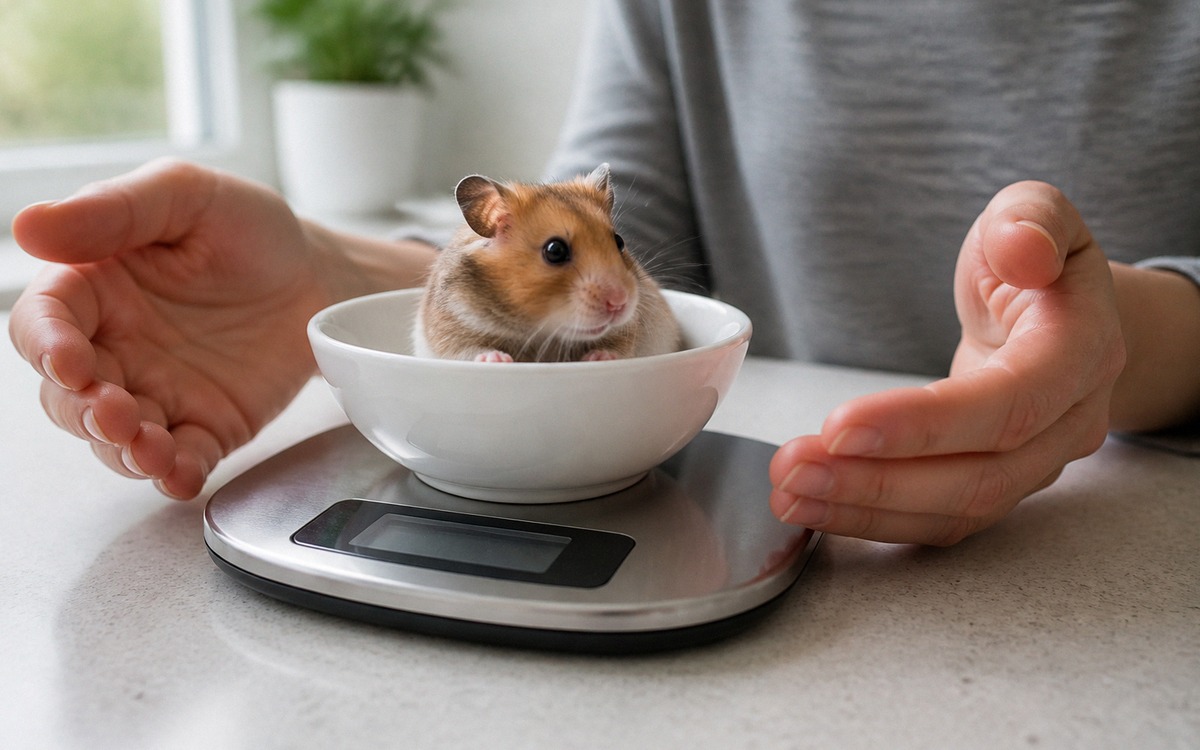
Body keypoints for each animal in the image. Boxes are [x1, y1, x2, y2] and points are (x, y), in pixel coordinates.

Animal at [413, 164, 682, 363]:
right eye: (555, 250)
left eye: (619, 241)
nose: (620, 303)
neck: (543, 331)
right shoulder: (450, 328)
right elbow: (469, 350)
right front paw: (498, 359)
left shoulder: (627, 332)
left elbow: (617, 346)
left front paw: (599, 357)